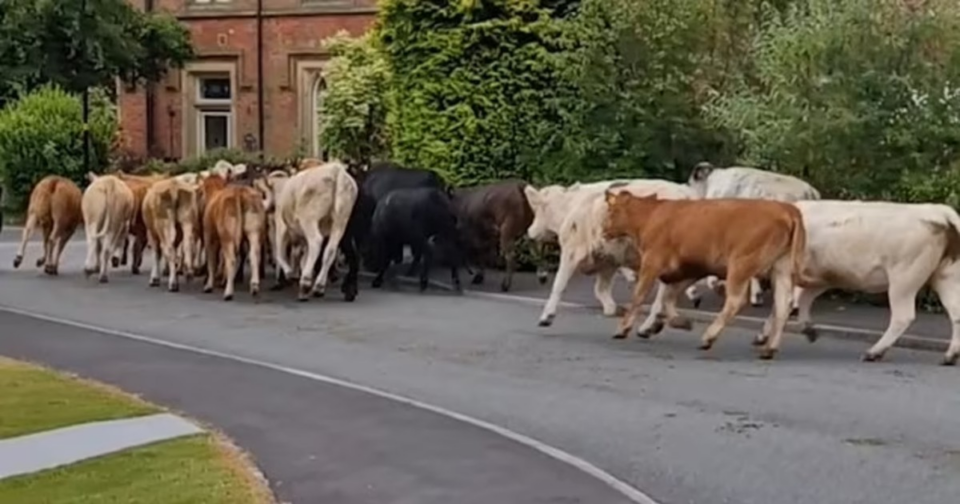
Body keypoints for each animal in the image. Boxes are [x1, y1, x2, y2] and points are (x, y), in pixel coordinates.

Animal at [256, 159, 358, 300]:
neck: (281, 188)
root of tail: (336, 171)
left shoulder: (280, 226)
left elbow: (280, 253)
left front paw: (289, 273)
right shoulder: (302, 237)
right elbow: (303, 255)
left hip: (309, 220)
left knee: (316, 242)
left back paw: (305, 283)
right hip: (340, 222)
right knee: (330, 250)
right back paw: (319, 287)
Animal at [524, 179, 696, 332]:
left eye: (536, 208)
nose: (529, 232)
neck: (569, 206)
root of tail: (686, 194)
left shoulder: (573, 249)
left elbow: (559, 283)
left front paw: (546, 316)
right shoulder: (609, 259)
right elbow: (601, 288)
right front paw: (613, 309)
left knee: (663, 293)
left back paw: (650, 324)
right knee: (672, 291)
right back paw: (676, 318)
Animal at [604, 191, 808, 360]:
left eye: (611, 211)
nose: (603, 230)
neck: (651, 216)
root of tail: (786, 209)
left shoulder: (652, 262)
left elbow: (639, 296)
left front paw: (623, 328)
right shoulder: (690, 270)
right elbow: (668, 298)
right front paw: (681, 322)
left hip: (741, 265)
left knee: (736, 301)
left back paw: (709, 337)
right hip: (781, 269)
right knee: (783, 304)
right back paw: (769, 348)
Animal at [756, 199, 960, 364]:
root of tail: (939, 212)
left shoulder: (788, 271)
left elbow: (783, 304)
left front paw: (768, 343)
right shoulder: (822, 277)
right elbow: (801, 300)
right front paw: (807, 329)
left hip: (904, 279)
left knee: (903, 316)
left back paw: (874, 352)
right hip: (946, 277)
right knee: (956, 312)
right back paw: (950, 356)